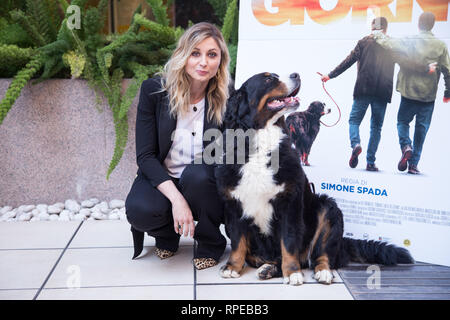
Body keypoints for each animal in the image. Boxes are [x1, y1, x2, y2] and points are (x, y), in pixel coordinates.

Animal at [216, 72, 414, 284]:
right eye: (268, 79)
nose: (296, 74)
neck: (261, 145)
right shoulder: (234, 205)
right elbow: (238, 242)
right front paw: (232, 267)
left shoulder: (290, 204)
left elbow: (289, 242)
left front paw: (292, 272)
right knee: (260, 256)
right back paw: (268, 268)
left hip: (328, 208)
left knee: (321, 254)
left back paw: (322, 271)